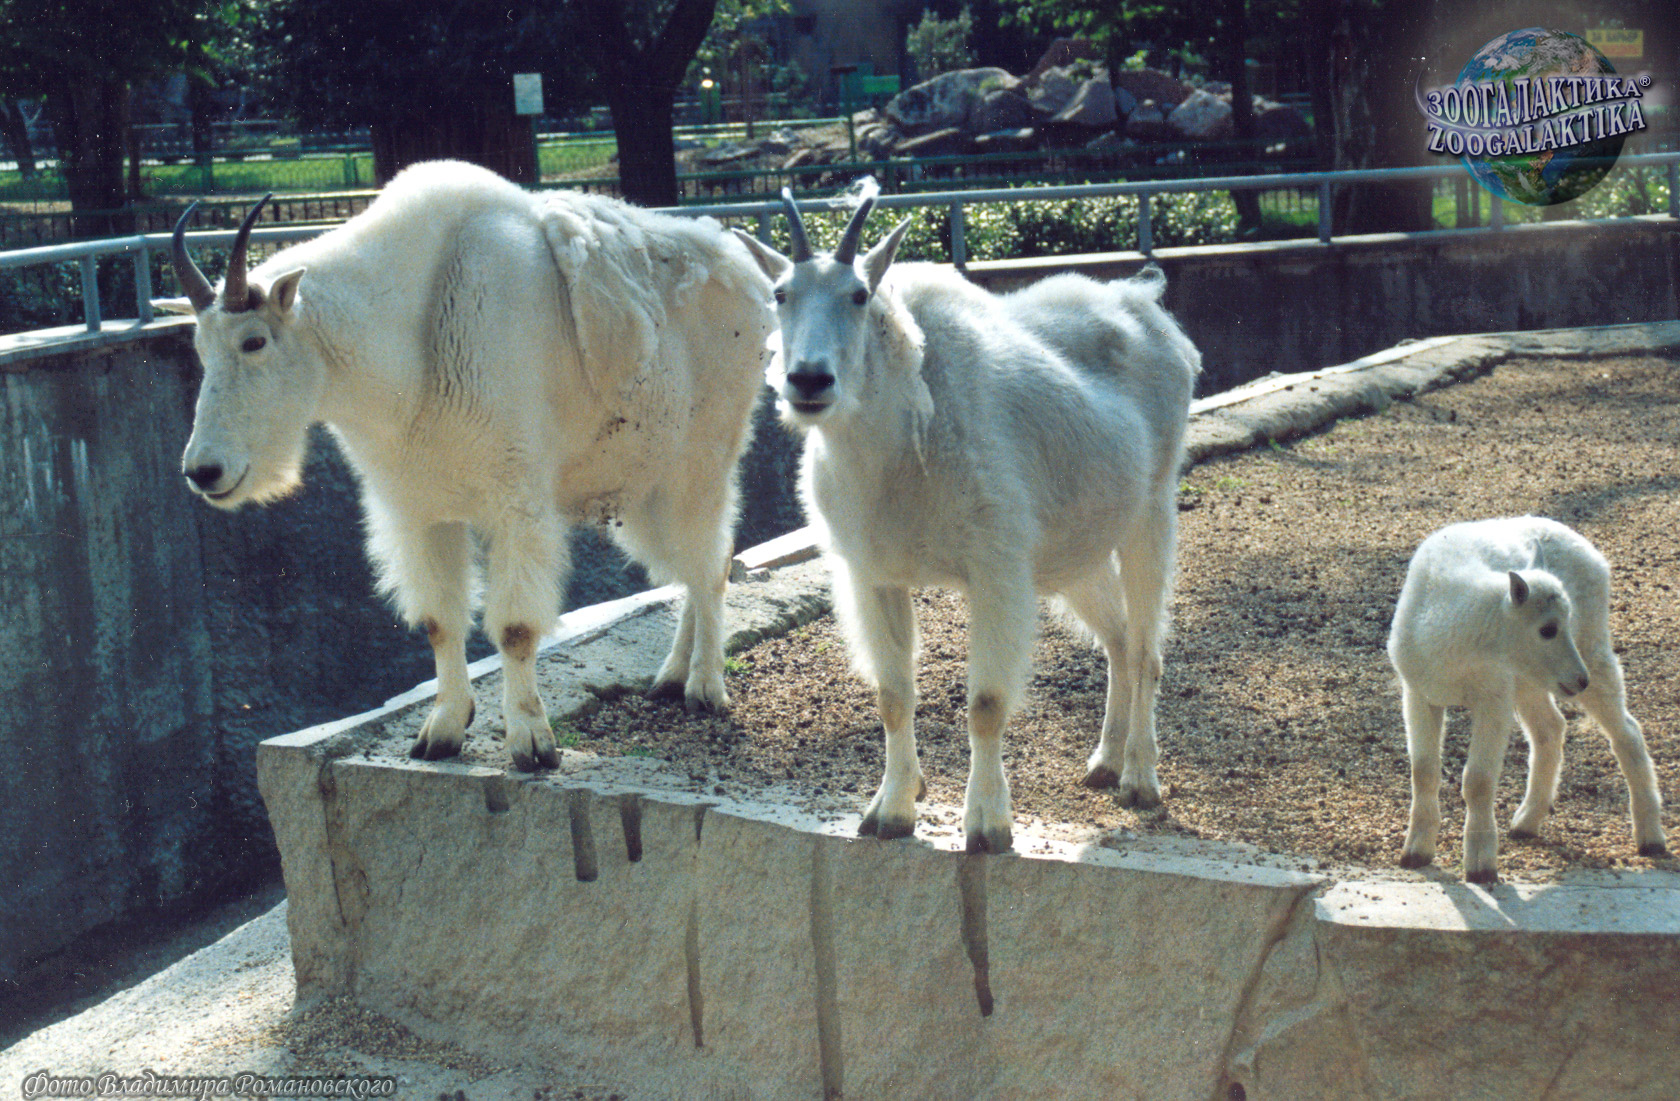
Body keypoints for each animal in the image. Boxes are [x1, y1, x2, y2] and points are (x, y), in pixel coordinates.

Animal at [169, 160, 774, 771]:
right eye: (199, 348)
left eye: (254, 341)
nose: (203, 472)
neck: (412, 336)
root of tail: (749, 270)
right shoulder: (420, 510)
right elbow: (440, 622)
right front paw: (441, 732)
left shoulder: (516, 502)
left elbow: (514, 628)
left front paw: (531, 742)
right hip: (648, 482)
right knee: (690, 567)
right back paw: (670, 676)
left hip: (704, 460)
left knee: (711, 564)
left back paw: (705, 687)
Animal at [733, 188, 1200, 854]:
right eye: (779, 293)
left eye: (859, 295)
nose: (808, 380)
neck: (897, 441)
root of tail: (1153, 312)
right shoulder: (874, 575)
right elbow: (893, 696)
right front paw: (892, 811)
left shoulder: (996, 570)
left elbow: (984, 703)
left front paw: (987, 825)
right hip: (1076, 550)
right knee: (1114, 640)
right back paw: (1103, 762)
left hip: (1152, 512)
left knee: (1143, 649)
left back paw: (1139, 779)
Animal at [1388, 515, 1668, 882]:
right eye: (1547, 629)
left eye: (1565, 622)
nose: (1580, 680)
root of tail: (1591, 551)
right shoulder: (1419, 693)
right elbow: (1423, 771)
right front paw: (1416, 853)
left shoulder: (1493, 699)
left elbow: (1478, 780)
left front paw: (1481, 866)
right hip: (1531, 681)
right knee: (1551, 729)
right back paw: (1525, 823)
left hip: (1590, 646)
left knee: (1627, 731)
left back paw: (1651, 840)